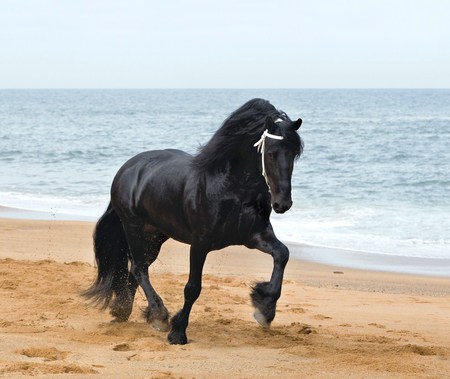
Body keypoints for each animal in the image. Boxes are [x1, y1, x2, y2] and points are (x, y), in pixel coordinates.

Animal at [84, 98, 302, 344]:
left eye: (294, 154)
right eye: (272, 153)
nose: (283, 204)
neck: (231, 188)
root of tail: (127, 168)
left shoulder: (254, 236)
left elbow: (282, 254)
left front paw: (264, 309)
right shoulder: (200, 243)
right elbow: (192, 287)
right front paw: (178, 332)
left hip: (155, 236)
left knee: (137, 271)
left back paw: (126, 311)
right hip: (134, 229)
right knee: (139, 269)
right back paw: (159, 316)